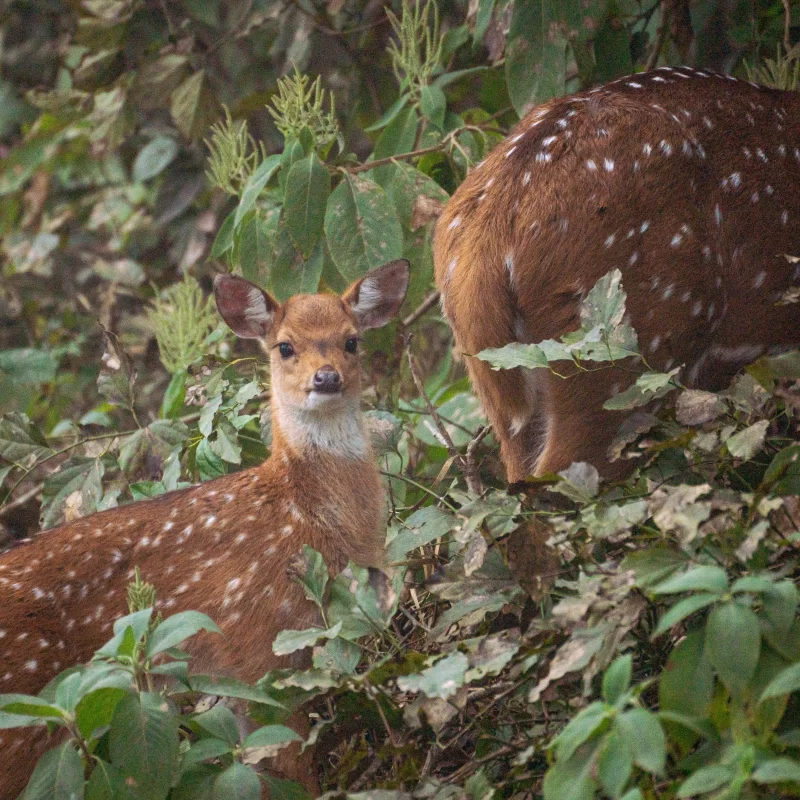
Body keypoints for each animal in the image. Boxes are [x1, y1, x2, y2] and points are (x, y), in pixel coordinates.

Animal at [0, 258, 409, 797]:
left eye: (352, 340)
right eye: (285, 346)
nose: (326, 378)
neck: (304, 517)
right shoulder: (256, 646)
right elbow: (292, 767)